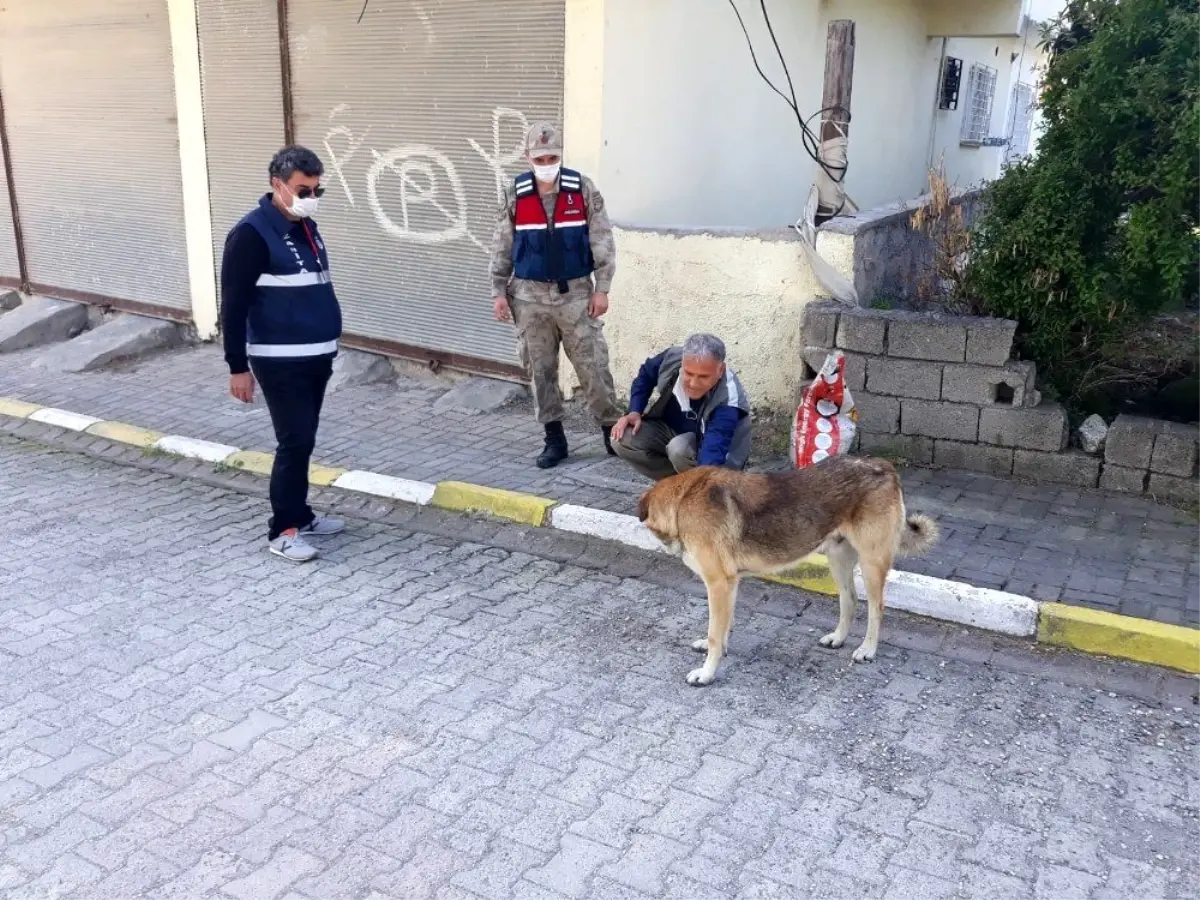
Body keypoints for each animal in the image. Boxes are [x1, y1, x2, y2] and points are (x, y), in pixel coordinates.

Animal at [638, 458, 936, 681]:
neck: (682, 500)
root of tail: (883, 466)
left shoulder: (718, 583)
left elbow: (714, 633)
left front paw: (707, 672)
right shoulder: (729, 584)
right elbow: (723, 627)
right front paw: (721, 650)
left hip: (871, 563)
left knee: (876, 608)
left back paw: (867, 649)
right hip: (838, 560)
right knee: (849, 600)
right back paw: (838, 638)